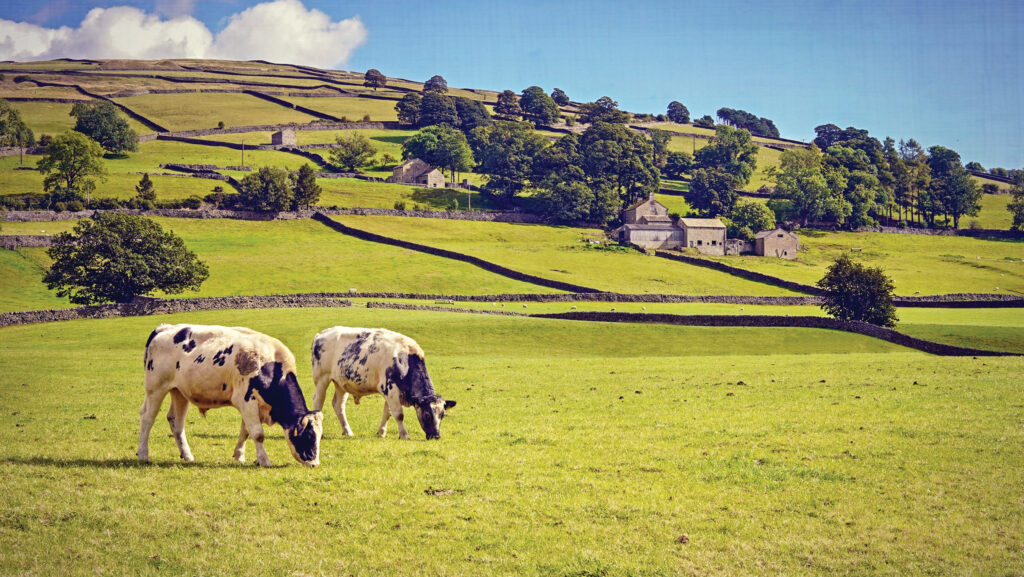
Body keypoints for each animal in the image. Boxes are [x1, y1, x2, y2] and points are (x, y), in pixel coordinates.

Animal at [136, 325, 319, 469]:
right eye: (309, 436)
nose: (315, 464)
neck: (269, 365)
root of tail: (164, 328)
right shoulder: (246, 401)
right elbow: (257, 433)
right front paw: (264, 461)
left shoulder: (250, 405)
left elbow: (245, 432)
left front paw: (239, 455)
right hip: (155, 388)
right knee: (147, 417)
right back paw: (143, 454)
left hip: (179, 392)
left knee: (176, 422)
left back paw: (187, 455)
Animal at [309, 327, 458, 440]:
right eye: (427, 414)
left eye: (442, 415)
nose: (436, 436)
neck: (406, 358)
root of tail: (321, 334)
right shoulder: (391, 389)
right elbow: (398, 414)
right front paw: (404, 435)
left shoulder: (390, 393)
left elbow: (388, 413)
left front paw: (381, 432)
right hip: (321, 378)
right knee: (318, 401)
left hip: (341, 383)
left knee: (338, 405)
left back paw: (348, 432)